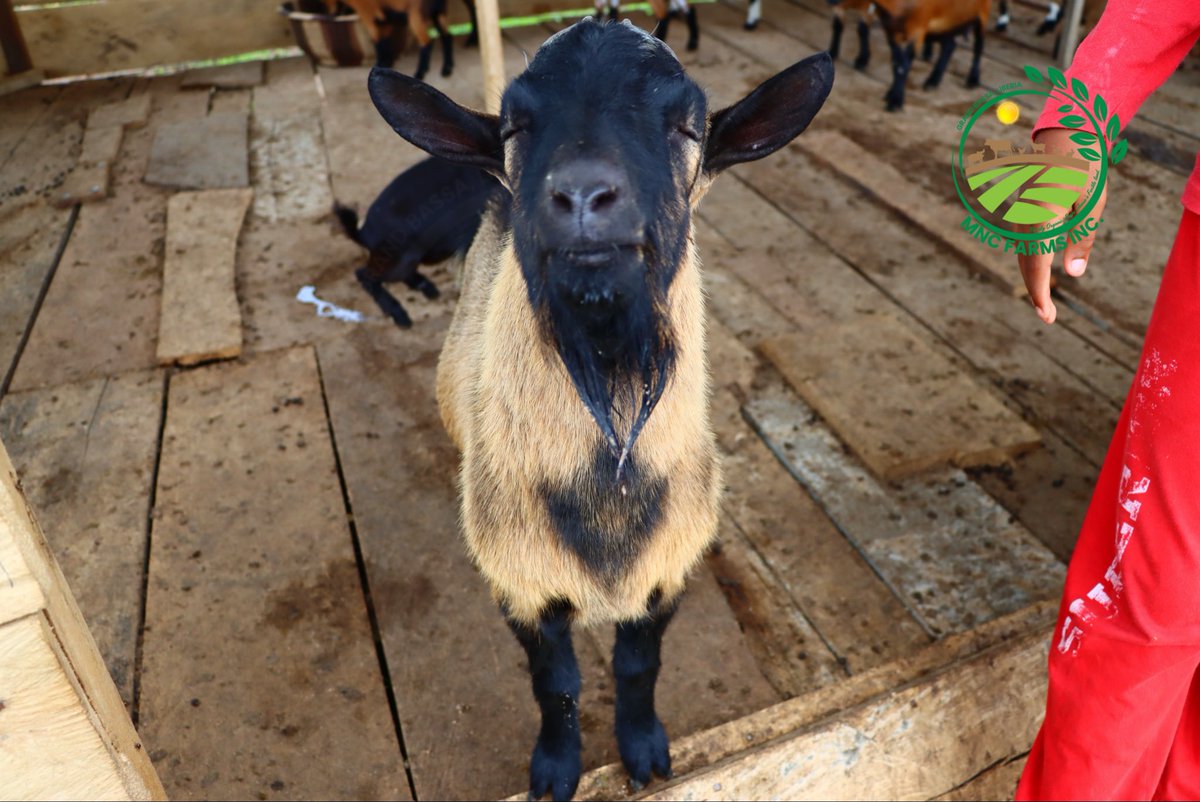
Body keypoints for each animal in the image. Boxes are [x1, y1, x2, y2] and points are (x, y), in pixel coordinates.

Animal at [327, 0, 478, 79]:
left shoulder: (370, 16)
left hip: (417, 16)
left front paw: (380, 64)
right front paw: (387, 63)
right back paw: (447, 68)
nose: (333, 14)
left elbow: (377, 42)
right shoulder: (385, 21)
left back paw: (420, 72)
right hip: (437, 13)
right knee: (447, 37)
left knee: (426, 41)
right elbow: (385, 41)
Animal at [367, 18, 833, 800]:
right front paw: (556, 769)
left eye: (688, 125)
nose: (583, 194)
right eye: (515, 125)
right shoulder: (521, 585)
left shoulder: (667, 574)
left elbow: (638, 667)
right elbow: (554, 684)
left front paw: (644, 751)